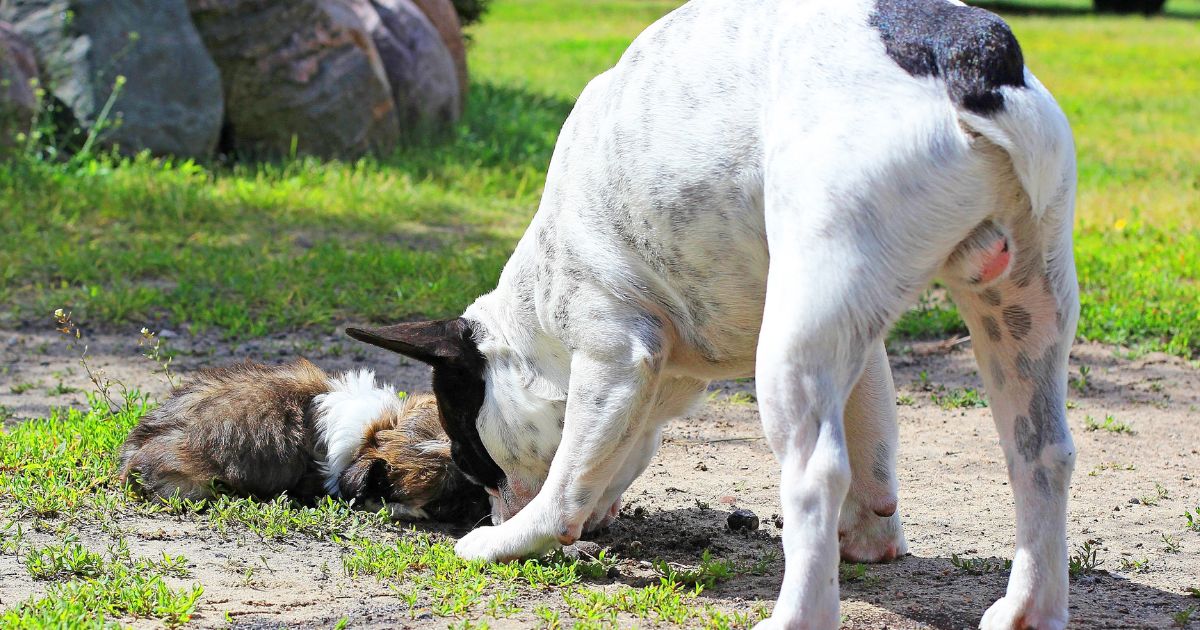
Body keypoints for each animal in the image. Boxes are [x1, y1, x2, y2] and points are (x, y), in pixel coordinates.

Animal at [348, 0, 1080, 619]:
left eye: (474, 458)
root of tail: (966, 58)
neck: (533, 320)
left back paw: (796, 615)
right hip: (1017, 306)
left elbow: (570, 475)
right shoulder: (858, 344)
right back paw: (1028, 610)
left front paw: (514, 538)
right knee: (1039, 454)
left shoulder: (614, 355)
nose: (492, 513)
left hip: (791, 341)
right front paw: (873, 533)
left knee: (816, 473)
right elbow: (874, 435)